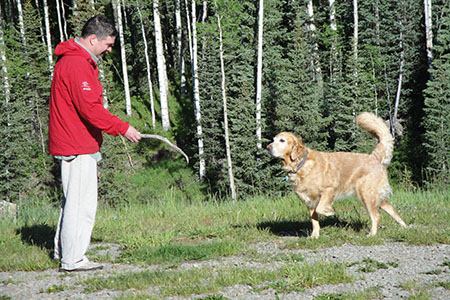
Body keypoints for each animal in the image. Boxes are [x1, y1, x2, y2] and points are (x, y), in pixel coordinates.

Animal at [266, 112, 406, 239]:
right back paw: (404, 226)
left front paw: (329, 212)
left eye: (282, 140)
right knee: (391, 209)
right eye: (273, 140)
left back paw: (372, 234)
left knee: (376, 216)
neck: (301, 164)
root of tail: (373, 157)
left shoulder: (329, 189)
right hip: (375, 196)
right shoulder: (309, 201)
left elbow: (320, 208)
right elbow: (314, 220)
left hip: (366, 194)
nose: (267, 147)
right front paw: (314, 236)